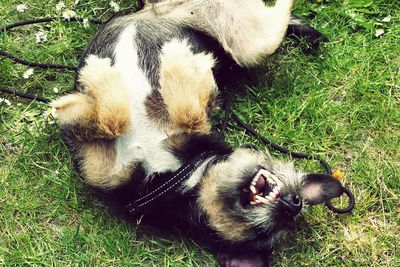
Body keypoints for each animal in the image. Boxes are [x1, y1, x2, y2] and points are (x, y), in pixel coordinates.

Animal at [50, 1, 344, 266]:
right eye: (297, 199)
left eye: (264, 232)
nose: (292, 204)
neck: (181, 178)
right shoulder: (98, 168)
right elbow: (111, 119)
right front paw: (90, 82)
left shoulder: (203, 108)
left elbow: (185, 111)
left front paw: (174, 60)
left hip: (251, 45)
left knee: (275, 20)